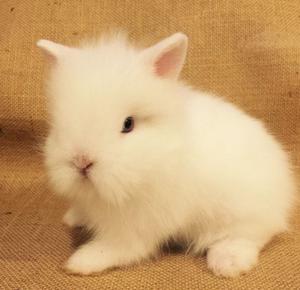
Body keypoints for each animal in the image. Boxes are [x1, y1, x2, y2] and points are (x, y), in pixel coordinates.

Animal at [37, 31, 296, 276]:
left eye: (128, 124)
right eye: (60, 123)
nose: (82, 162)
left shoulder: (138, 223)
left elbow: (122, 247)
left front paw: (81, 262)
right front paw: (73, 217)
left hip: (239, 213)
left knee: (251, 234)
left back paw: (227, 263)